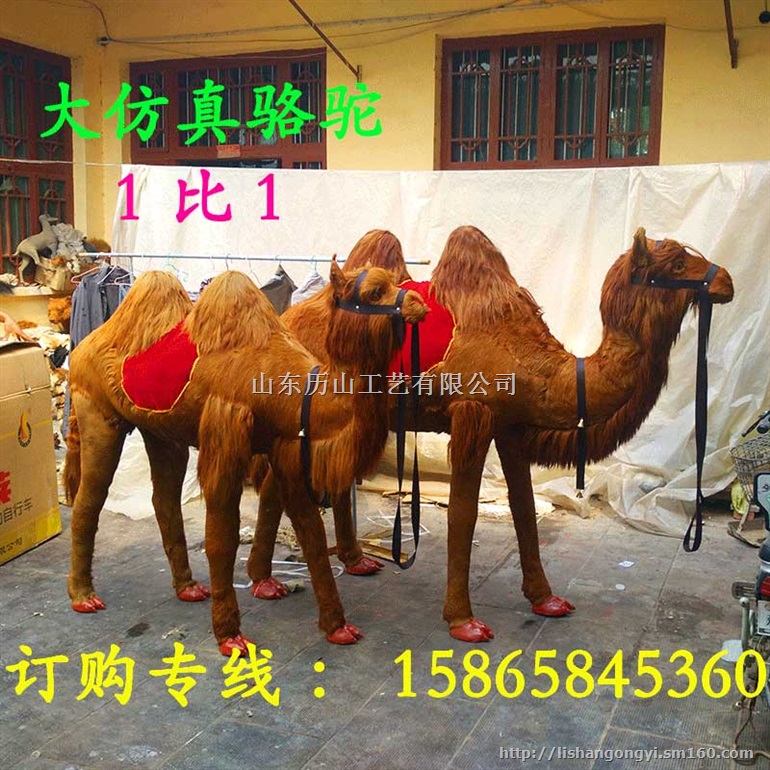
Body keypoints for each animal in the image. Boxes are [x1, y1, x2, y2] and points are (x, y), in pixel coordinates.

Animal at [63, 263, 428, 656]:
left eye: (394, 281)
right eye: (374, 292)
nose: (419, 303)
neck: (301, 394)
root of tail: (83, 347)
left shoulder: (286, 447)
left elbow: (309, 534)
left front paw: (336, 626)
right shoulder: (226, 436)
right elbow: (222, 538)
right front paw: (229, 636)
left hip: (161, 431)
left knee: (164, 499)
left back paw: (188, 588)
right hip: (97, 413)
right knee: (89, 499)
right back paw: (83, 595)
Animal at [248, 226, 734, 643]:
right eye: (676, 264)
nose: (726, 281)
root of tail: (289, 319)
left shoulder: (510, 424)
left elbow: (524, 508)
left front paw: (546, 599)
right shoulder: (473, 414)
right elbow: (464, 513)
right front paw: (463, 620)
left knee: (291, 480)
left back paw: (333, 566)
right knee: (281, 480)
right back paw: (270, 583)